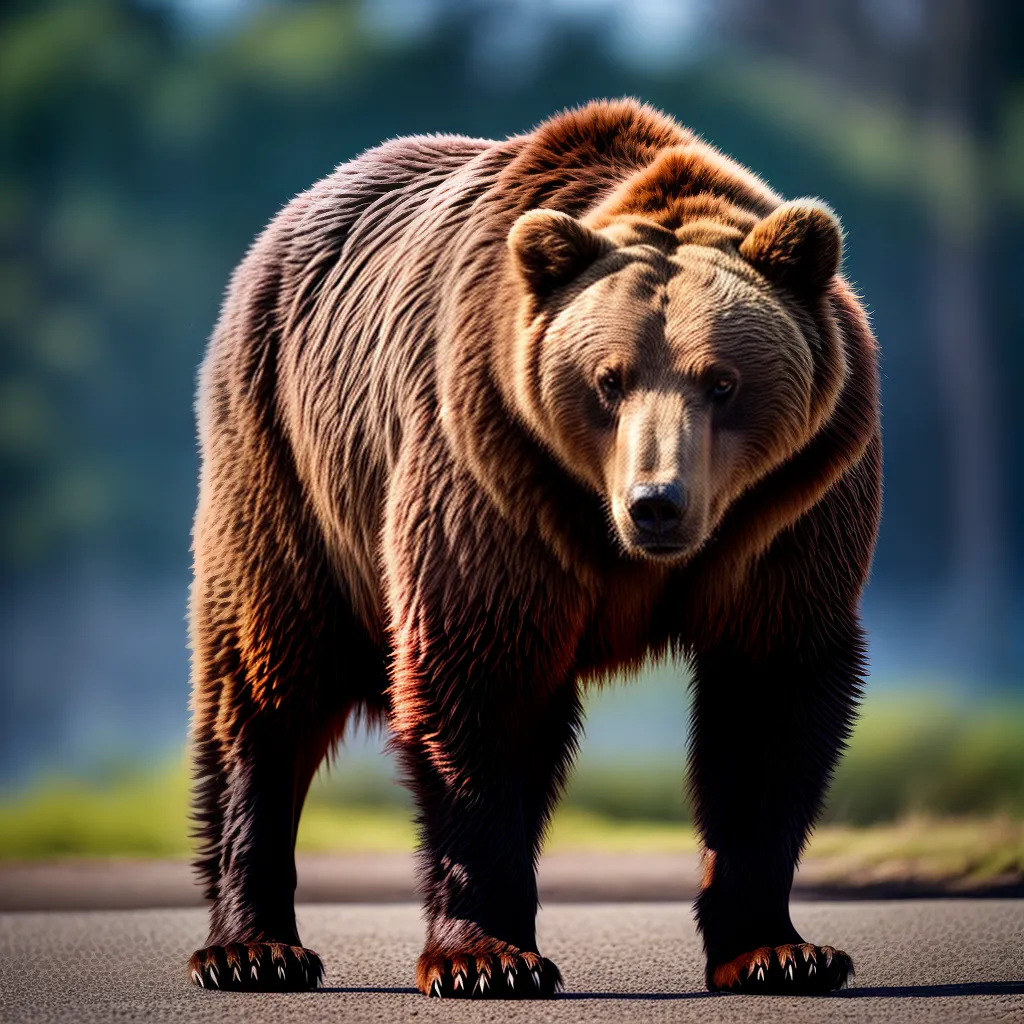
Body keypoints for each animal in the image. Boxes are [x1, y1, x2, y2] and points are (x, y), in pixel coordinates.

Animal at [186, 98, 881, 998]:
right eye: (609, 379)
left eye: (722, 381)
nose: (656, 505)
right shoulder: (493, 474)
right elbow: (476, 678)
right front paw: (485, 958)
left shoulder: (790, 515)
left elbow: (771, 694)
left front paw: (778, 950)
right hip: (281, 455)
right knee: (268, 677)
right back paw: (253, 947)